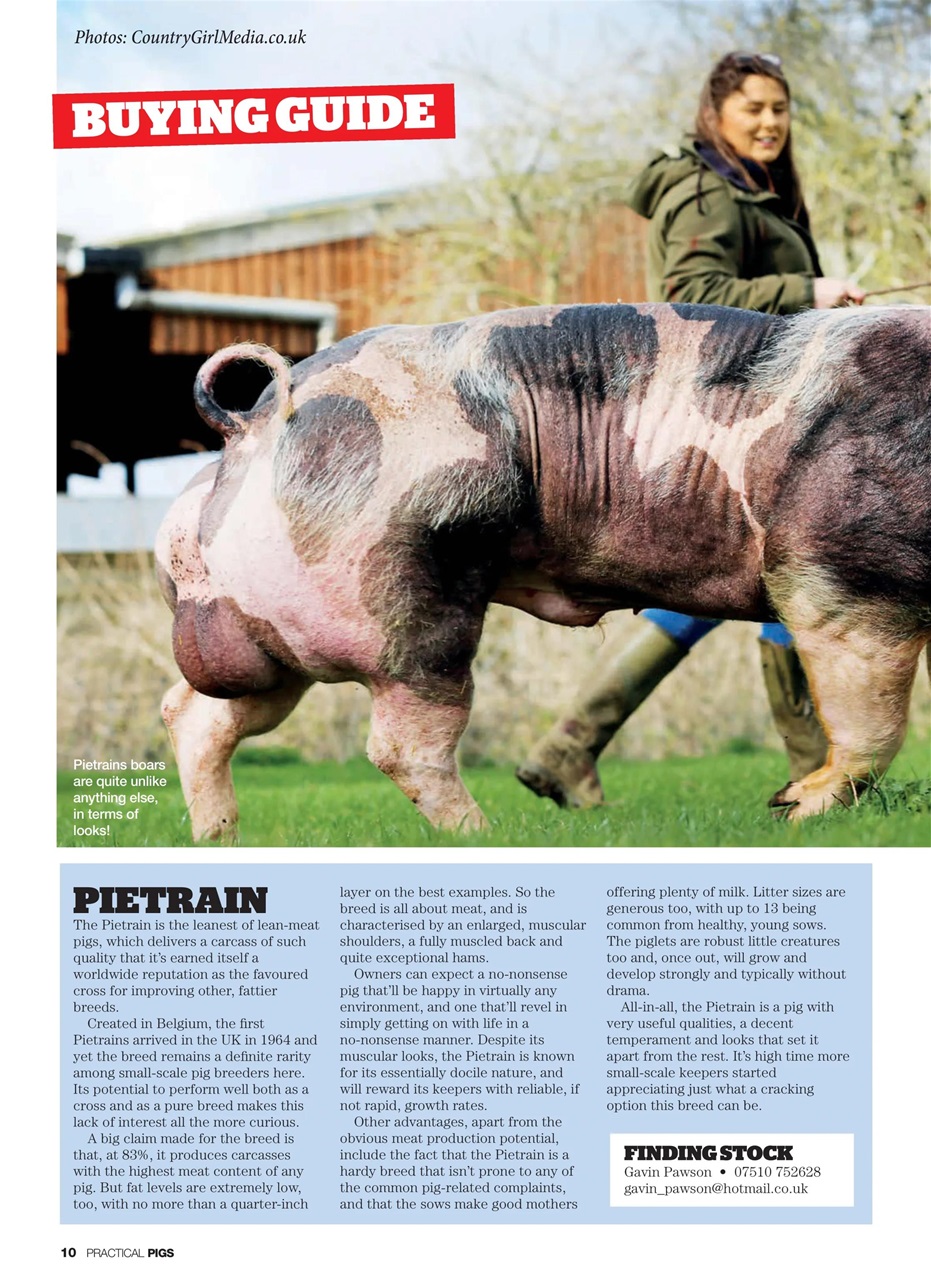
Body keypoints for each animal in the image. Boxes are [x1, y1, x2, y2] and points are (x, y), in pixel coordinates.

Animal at [155, 302, 930, 840]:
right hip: (408, 606)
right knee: (402, 744)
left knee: (196, 711)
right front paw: (792, 814)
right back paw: (483, 836)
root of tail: (252, 425)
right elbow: (873, 723)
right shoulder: (839, 572)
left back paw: (217, 840)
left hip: (264, 636)